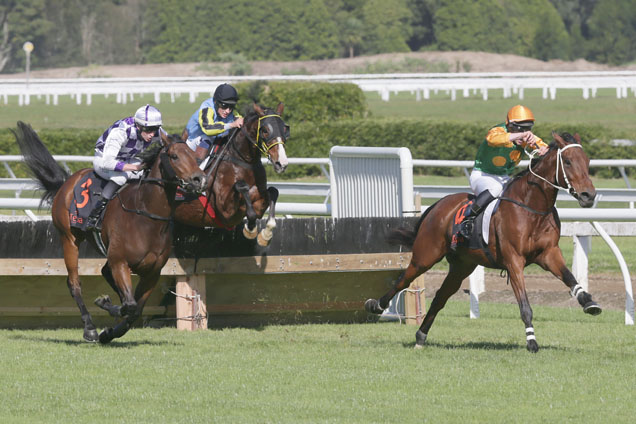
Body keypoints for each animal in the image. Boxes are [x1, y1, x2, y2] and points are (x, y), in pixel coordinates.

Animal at [13, 121, 205, 342]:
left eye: (194, 155)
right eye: (174, 156)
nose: (199, 179)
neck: (147, 217)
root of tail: (67, 181)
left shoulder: (152, 272)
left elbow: (135, 310)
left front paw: (110, 332)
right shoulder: (120, 262)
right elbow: (129, 305)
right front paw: (104, 306)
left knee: (105, 274)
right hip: (69, 238)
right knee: (74, 283)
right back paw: (89, 327)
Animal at [176, 102, 290, 245]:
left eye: (285, 129)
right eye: (265, 130)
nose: (282, 163)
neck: (243, 160)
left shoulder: (258, 200)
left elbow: (273, 192)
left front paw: (266, 234)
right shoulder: (225, 211)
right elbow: (242, 187)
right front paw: (250, 230)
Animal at [368, 134, 600, 352]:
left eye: (587, 160)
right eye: (568, 161)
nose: (589, 195)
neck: (532, 208)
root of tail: (438, 205)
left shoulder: (549, 253)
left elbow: (570, 278)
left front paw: (589, 302)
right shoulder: (514, 260)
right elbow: (525, 305)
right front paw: (532, 342)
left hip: (461, 266)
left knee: (440, 298)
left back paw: (420, 336)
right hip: (425, 256)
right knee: (403, 280)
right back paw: (376, 305)